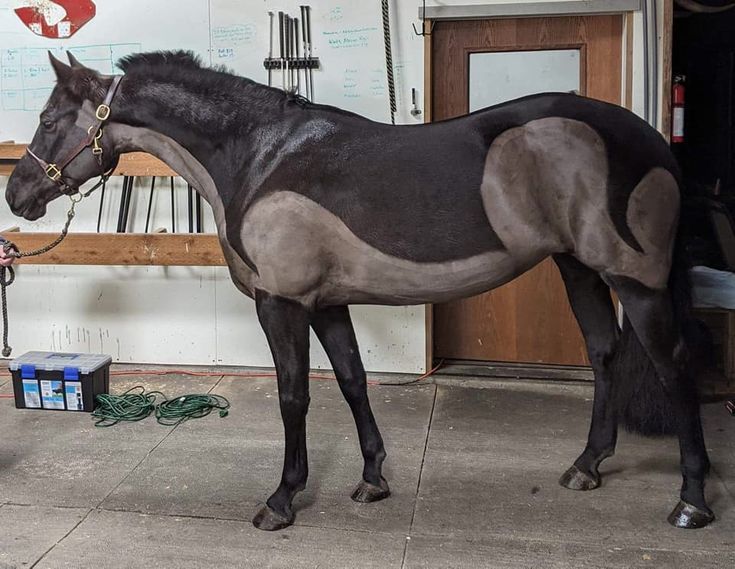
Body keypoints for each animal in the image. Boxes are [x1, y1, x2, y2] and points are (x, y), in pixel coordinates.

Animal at [5, 51, 716, 532]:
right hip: (577, 268)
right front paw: (373, 480)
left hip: (635, 282)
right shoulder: (328, 305)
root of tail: (651, 140)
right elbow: (351, 383)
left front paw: (282, 500)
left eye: (49, 118)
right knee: (604, 352)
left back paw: (692, 499)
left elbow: (294, 398)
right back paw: (587, 466)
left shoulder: (282, 306)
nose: (18, 195)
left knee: (674, 365)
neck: (258, 157)